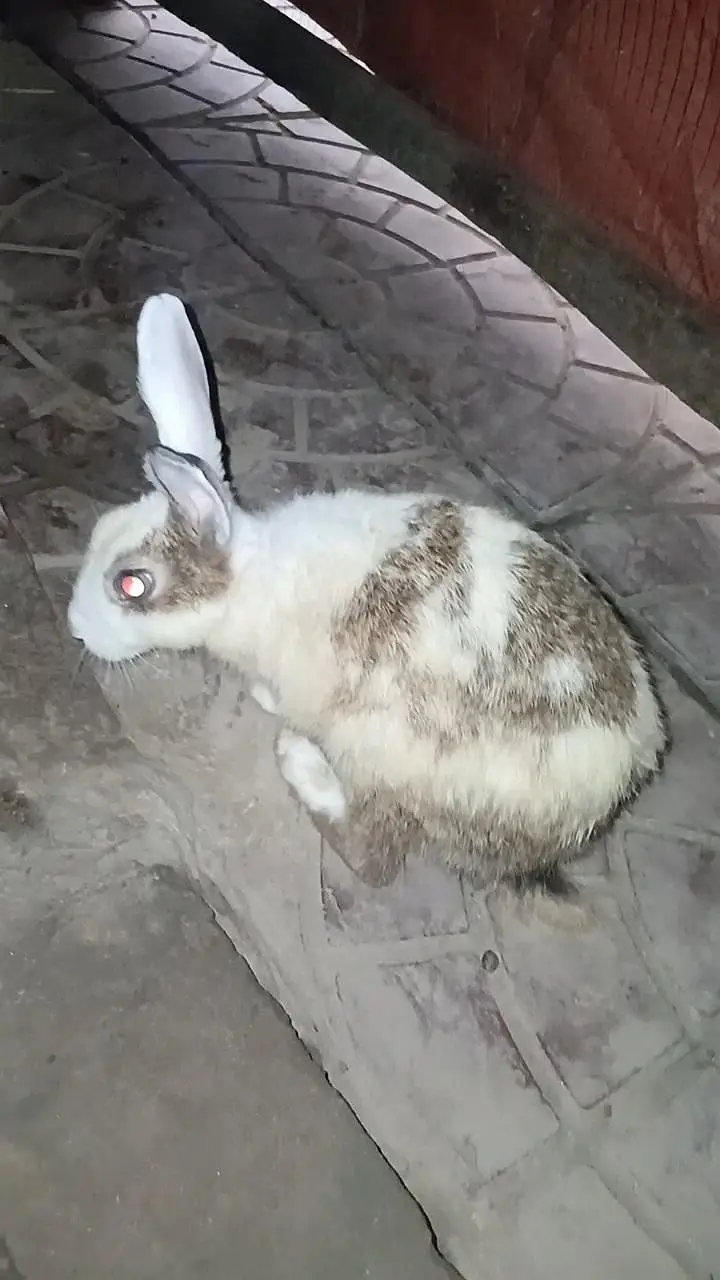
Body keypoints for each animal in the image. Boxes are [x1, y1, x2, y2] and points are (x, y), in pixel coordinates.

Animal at [68, 293, 668, 893]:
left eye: (131, 583)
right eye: (98, 530)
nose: (75, 627)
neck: (249, 579)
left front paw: (269, 704)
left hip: (380, 750)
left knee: (374, 857)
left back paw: (300, 760)